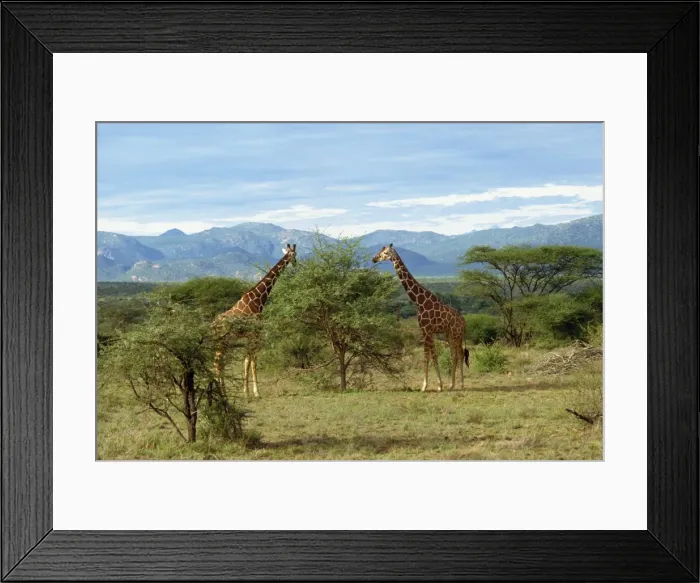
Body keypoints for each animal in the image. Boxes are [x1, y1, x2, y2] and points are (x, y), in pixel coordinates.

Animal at [211, 243, 297, 398]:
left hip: (224, 341)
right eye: (294, 254)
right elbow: (253, 362)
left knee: (220, 363)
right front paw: (255, 393)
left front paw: (246, 391)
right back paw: (221, 392)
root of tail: (212, 325)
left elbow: (246, 361)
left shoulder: (249, 336)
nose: (296, 263)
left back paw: (223, 391)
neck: (259, 299)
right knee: (217, 363)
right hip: (222, 341)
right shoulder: (255, 334)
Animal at [372, 244, 468, 392]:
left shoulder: (427, 330)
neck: (419, 302)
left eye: (386, 253)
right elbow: (430, 356)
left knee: (460, 353)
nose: (374, 259)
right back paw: (451, 385)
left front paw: (431, 386)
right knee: (454, 354)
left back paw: (462, 384)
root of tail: (463, 322)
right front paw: (432, 385)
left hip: (457, 333)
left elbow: (430, 356)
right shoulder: (425, 331)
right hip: (449, 334)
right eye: (381, 251)